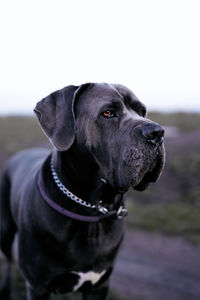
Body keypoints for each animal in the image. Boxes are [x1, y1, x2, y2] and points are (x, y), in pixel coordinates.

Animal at [0, 82, 166, 300]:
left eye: (142, 111)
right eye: (107, 113)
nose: (158, 132)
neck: (91, 209)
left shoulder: (99, 286)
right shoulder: (38, 286)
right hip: (4, 234)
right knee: (6, 264)